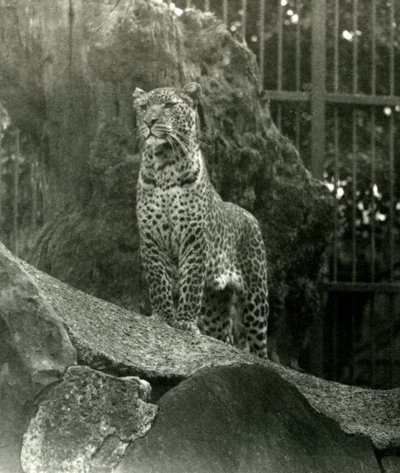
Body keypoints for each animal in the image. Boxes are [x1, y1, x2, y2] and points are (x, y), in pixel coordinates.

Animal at [134, 82, 268, 358]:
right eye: (143, 107)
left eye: (169, 105)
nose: (150, 121)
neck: (165, 165)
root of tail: (249, 215)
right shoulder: (151, 238)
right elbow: (158, 281)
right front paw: (163, 317)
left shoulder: (194, 237)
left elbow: (191, 283)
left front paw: (184, 322)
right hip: (215, 306)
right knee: (224, 334)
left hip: (256, 295)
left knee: (259, 344)